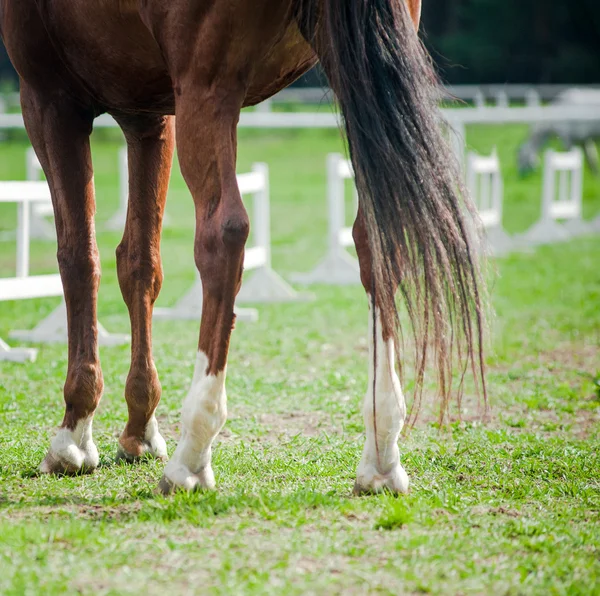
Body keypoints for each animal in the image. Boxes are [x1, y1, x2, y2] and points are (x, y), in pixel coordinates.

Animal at [0, 0, 486, 494]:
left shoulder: (50, 100)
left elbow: (78, 257)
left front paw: (74, 436)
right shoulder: (148, 115)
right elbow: (139, 263)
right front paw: (140, 429)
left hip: (208, 87)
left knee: (223, 235)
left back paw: (192, 456)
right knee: (373, 234)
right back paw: (382, 455)